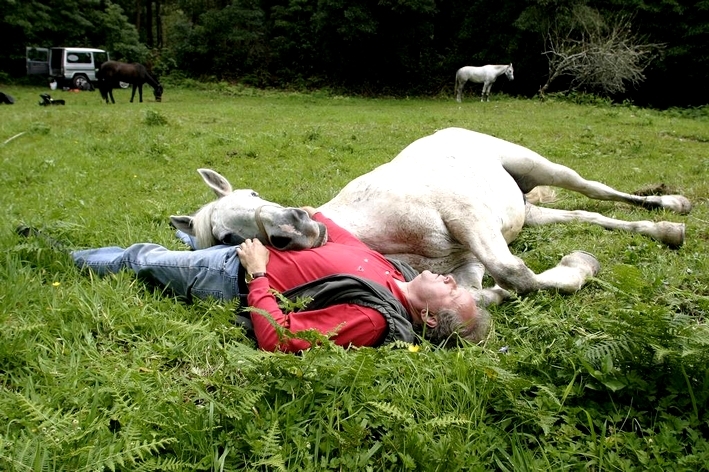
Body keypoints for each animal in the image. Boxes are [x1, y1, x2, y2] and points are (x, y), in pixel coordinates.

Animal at [169, 127, 688, 308]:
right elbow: (491, 289)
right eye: (225, 236)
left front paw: (577, 266)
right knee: (590, 214)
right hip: (530, 214)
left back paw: (672, 208)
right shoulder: (467, 261)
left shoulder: (464, 217)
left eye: (254, 192)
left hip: (540, 167)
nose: (296, 224)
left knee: (596, 190)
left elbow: (515, 274)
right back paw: (664, 230)